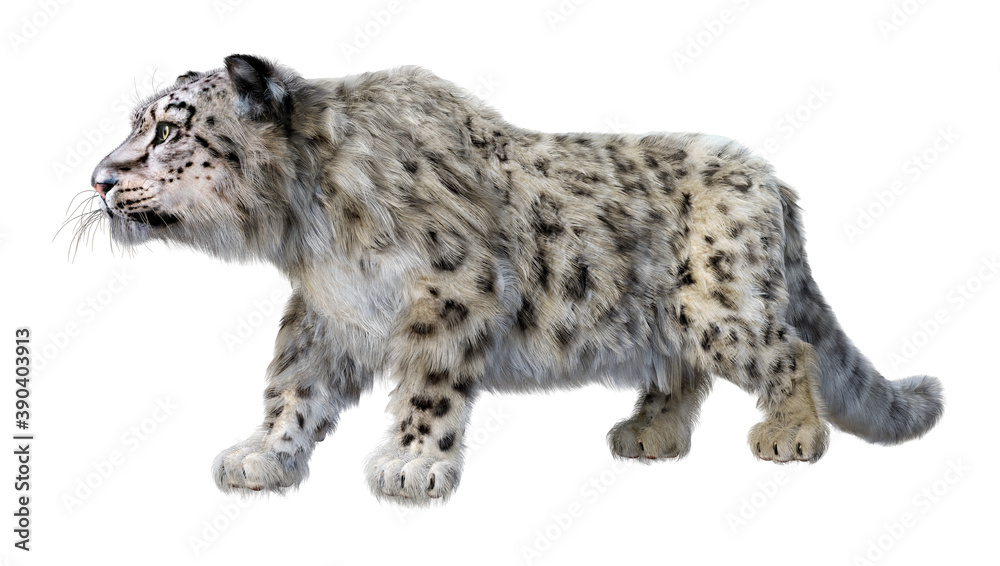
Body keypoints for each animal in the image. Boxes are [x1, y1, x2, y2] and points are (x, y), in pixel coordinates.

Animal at [80, 54, 944, 505]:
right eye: (136, 122)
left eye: (169, 129)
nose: (99, 180)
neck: (306, 232)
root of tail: (772, 181)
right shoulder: (327, 314)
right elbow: (294, 386)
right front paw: (264, 455)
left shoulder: (448, 291)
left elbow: (429, 385)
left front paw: (410, 466)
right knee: (685, 371)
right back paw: (650, 433)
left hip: (720, 302)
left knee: (789, 349)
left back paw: (790, 434)